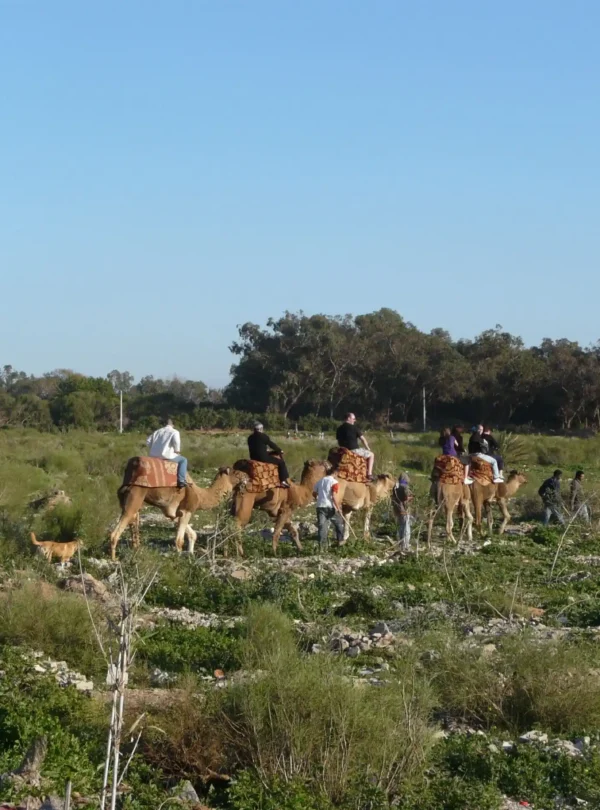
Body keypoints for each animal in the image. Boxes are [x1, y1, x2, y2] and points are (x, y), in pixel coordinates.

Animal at [109, 466, 240, 560]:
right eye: (236, 473)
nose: (244, 477)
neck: (200, 495)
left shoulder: (173, 512)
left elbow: (192, 534)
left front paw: (191, 554)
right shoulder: (187, 510)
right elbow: (179, 540)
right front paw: (179, 558)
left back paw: (136, 552)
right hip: (133, 502)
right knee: (115, 533)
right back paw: (114, 560)